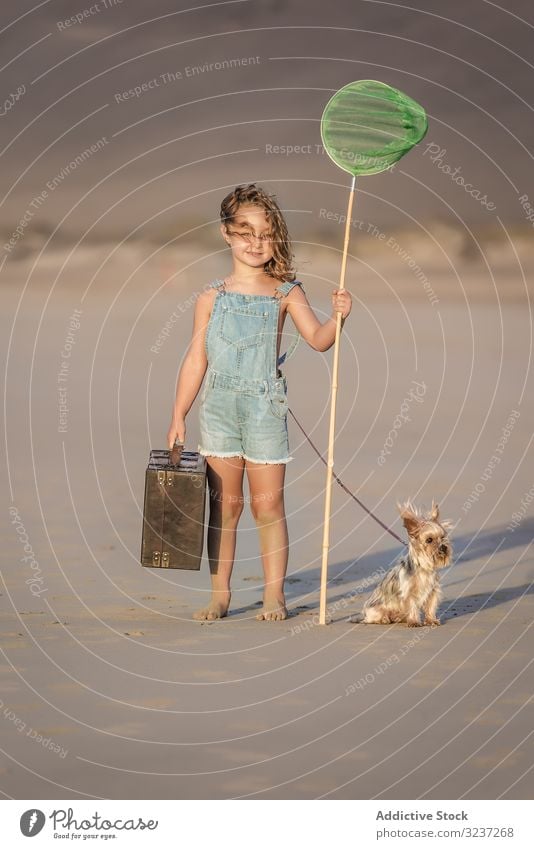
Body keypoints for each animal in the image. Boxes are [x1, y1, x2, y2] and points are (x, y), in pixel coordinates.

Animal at [350, 500, 454, 628]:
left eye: (443, 537)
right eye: (429, 540)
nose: (443, 547)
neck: (424, 568)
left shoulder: (432, 592)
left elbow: (430, 607)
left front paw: (431, 620)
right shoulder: (409, 593)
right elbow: (412, 606)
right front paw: (414, 622)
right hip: (376, 610)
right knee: (373, 619)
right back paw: (384, 619)